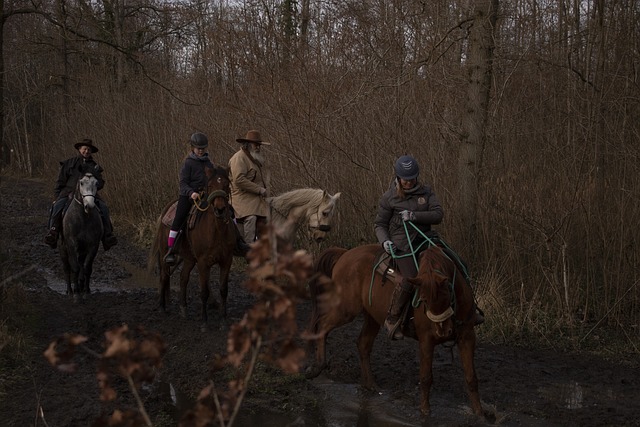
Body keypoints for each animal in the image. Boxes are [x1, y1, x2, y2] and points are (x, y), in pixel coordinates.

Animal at [58, 172, 102, 300]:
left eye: (96, 183)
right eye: (81, 183)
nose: (89, 206)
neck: (83, 218)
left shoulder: (93, 245)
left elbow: (87, 267)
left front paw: (86, 291)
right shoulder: (71, 244)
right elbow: (75, 268)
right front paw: (76, 293)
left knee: (81, 264)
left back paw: (81, 285)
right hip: (63, 249)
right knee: (67, 268)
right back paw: (69, 290)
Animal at [149, 165, 236, 332]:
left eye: (226, 185)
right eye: (210, 185)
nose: (220, 209)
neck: (216, 231)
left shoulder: (226, 261)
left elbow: (224, 290)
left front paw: (223, 321)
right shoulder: (203, 263)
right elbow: (204, 292)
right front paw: (204, 323)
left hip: (189, 258)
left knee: (183, 278)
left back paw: (183, 309)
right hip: (164, 254)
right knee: (164, 276)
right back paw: (162, 307)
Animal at [308, 244, 482, 418]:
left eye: (447, 293)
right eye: (424, 300)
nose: (443, 331)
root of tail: (345, 254)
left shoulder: (467, 336)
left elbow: (471, 377)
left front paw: (479, 413)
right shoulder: (426, 339)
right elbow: (426, 377)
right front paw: (425, 411)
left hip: (372, 317)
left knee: (363, 344)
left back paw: (370, 385)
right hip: (345, 310)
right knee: (322, 326)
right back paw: (317, 367)